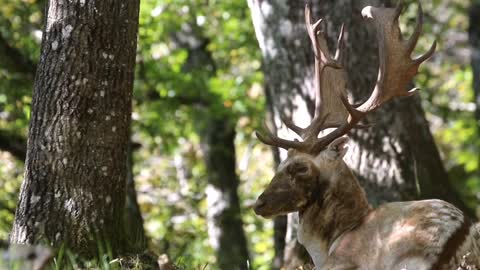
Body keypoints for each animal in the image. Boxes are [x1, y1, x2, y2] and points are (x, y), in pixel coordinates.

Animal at [253, 1, 480, 268]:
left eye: (300, 167)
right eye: (282, 163)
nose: (259, 203)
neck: (332, 243)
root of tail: (459, 235)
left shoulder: (341, 263)